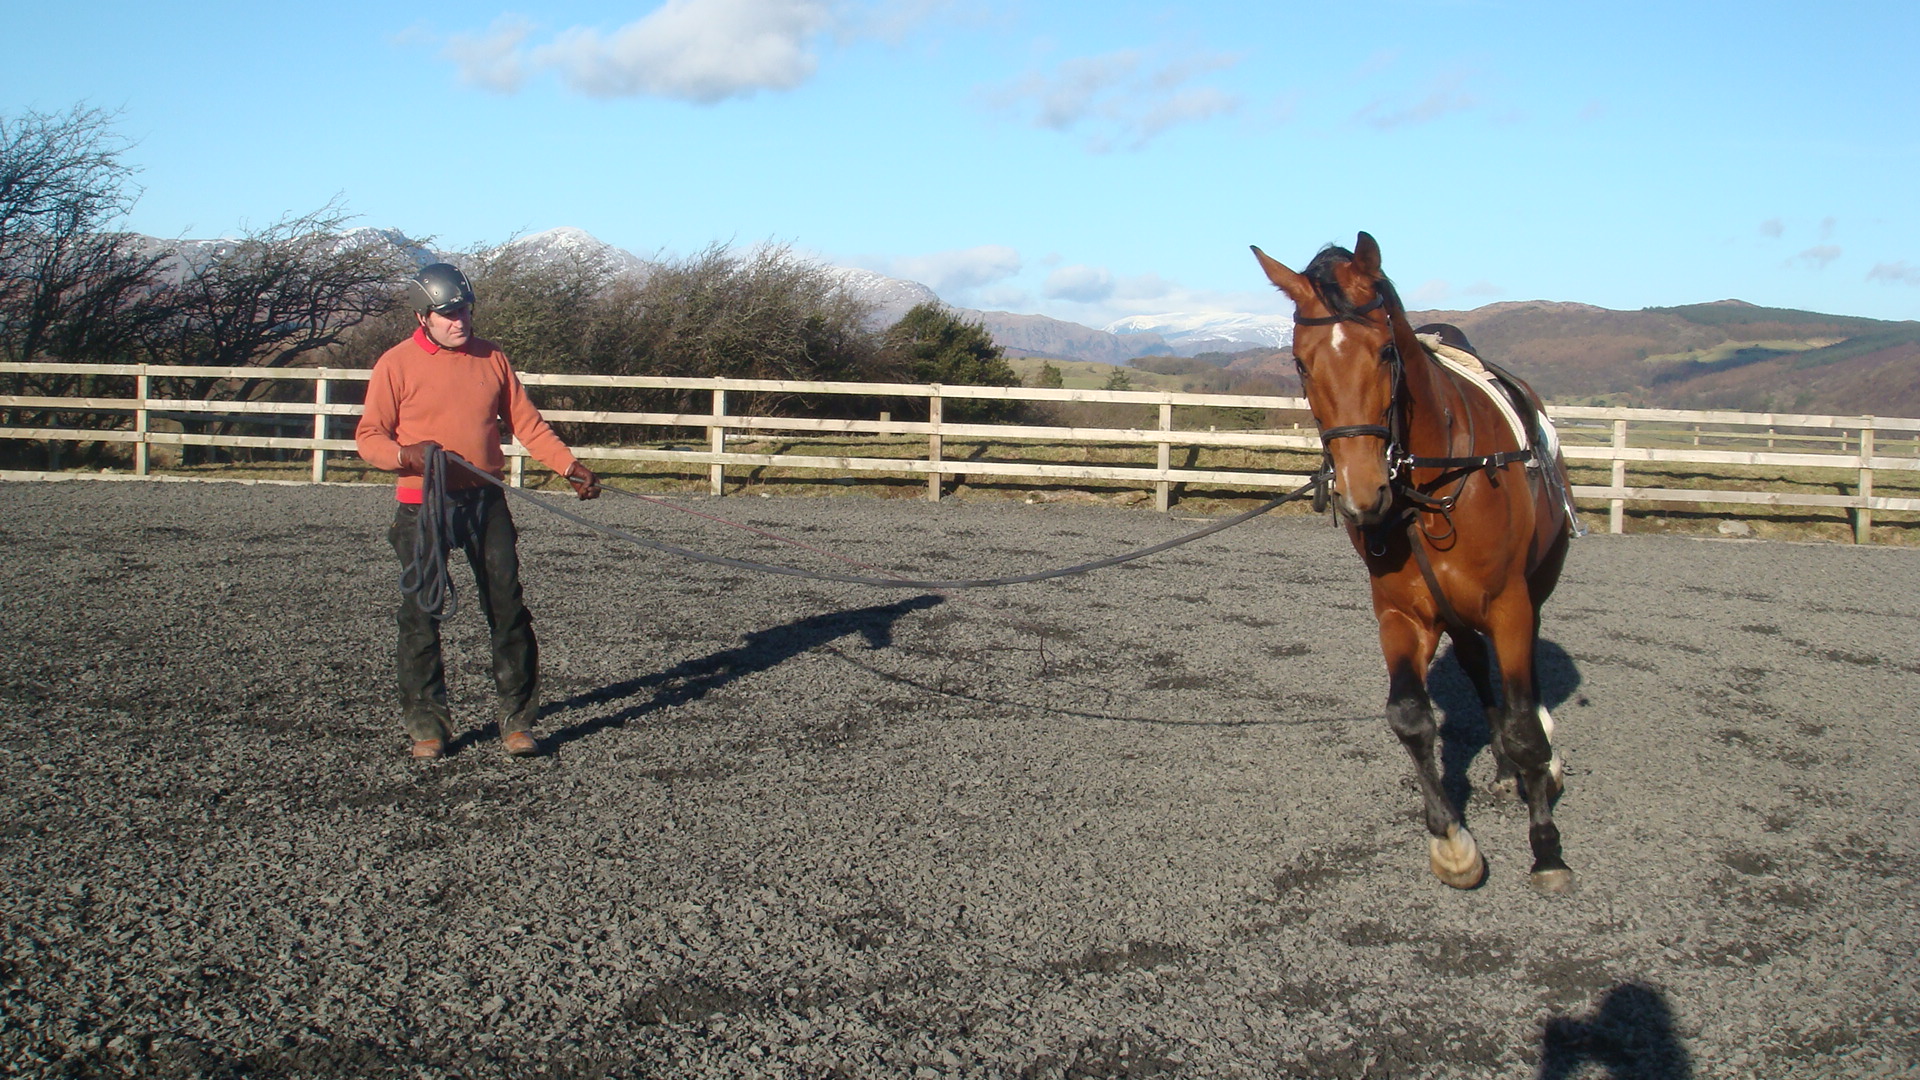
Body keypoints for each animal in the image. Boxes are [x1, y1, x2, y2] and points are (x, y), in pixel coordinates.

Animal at [1250, 232, 1578, 893]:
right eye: (1300, 363)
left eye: (1384, 352)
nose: (1362, 494)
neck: (1430, 482)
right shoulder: (1400, 611)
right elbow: (1409, 717)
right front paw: (1452, 842)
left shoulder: (1509, 604)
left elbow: (1526, 726)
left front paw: (1547, 849)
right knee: (1478, 667)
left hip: (1535, 587)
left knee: (1525, 684)